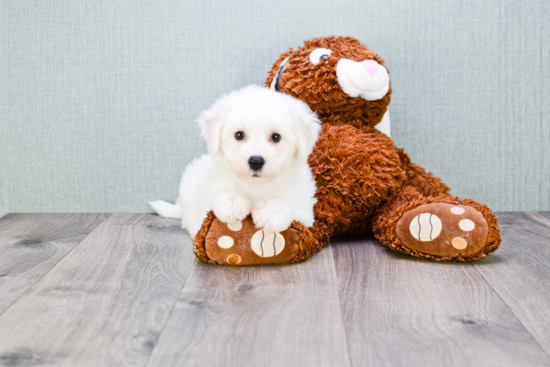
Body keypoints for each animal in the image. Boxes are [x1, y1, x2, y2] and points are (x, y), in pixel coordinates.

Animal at [151, 85, 324, 237]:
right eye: (239, 135)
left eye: (276, 137)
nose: (256, 161)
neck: (256, 186)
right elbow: (221, 194)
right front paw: (232, 204)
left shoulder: (306, 212)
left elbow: (289, 205)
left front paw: (271, 212)